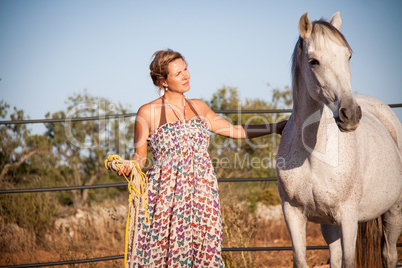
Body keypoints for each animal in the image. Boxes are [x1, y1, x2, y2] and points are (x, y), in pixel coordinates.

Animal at [276, 11, 402, 266]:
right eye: (313, 61)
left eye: (348, 56)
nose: (350, 114)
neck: (311, 155)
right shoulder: (293, 213)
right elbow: (302, 260)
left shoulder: (348, 216)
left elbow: (349, 261)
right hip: (329, 224)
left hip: (394, 210)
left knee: (389, 255)